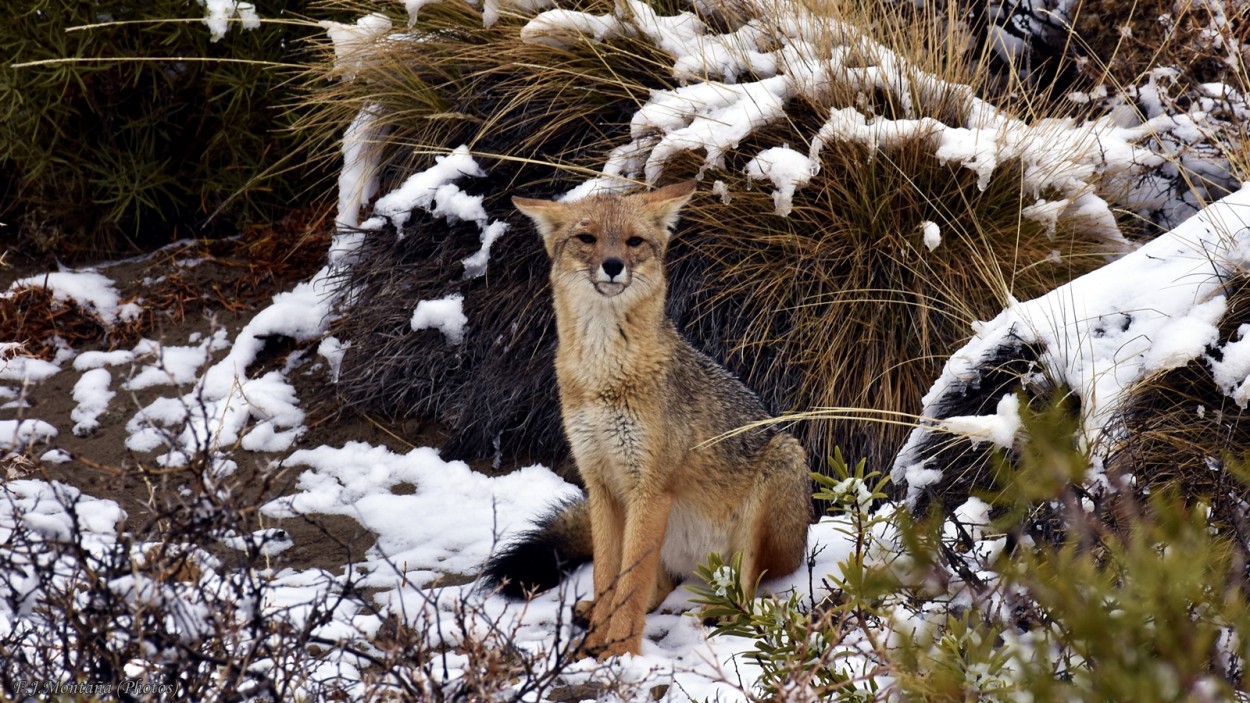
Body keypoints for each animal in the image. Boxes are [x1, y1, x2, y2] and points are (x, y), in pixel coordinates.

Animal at [482, 178, 815, 655]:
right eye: (588, 238)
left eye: (634, 241)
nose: (613, 265)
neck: (603, 378)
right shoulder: (601, 485)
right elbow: (610, 576)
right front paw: (598, 638)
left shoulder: (649, 489)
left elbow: (631, 585)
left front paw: (618, 650)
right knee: (659, 586)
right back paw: (592, 613)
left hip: (780, 463)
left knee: (746, 587)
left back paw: (720, 614)